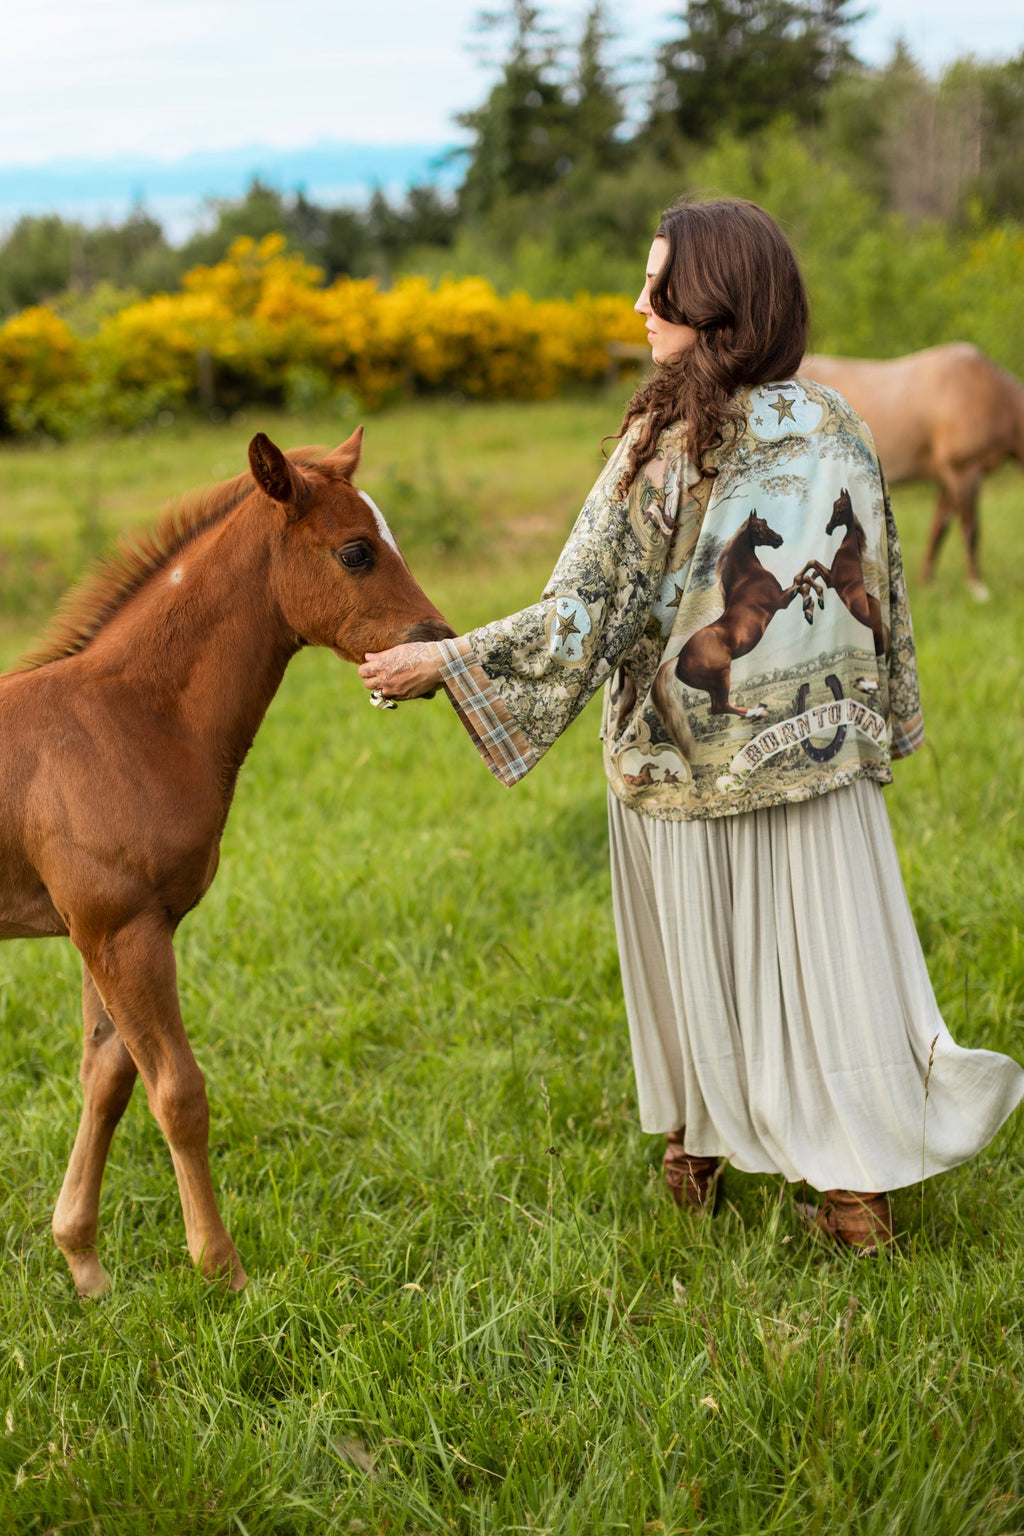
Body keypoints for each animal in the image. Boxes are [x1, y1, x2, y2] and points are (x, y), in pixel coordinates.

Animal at [0, 428, 453, 1299]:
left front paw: (83, 1263)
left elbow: (106, 1079)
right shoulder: (122, 930)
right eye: (356, 551)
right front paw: (222, 1271)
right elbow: (178, 1093)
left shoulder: (103, 933)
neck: (128, 718)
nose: (436, 645)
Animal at [652, 510, 806, 750]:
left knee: (717, 707)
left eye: (766, 522)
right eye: (758, 529)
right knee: (720, 707)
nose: (779, 539)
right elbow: (803, 579)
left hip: (712, 685)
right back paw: (757, 712)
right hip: (722, 677)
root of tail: (677, 659)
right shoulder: (782, 600)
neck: (748, 578)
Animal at [798, 487, 890, 660]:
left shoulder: (831, 580)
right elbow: (814, 573)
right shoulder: (829, 575)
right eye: (834, 505)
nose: (828, 528)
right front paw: (809, 605)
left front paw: (813, 601)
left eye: (840, 509)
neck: (849, 552)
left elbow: (811, 565)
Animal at [801, 345, 1024, 601]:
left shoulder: (947, 479)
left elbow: (938, 529)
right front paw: (977, 588)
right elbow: (971, 530)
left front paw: (928, 584)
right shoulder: (964, 471)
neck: (988, 391)